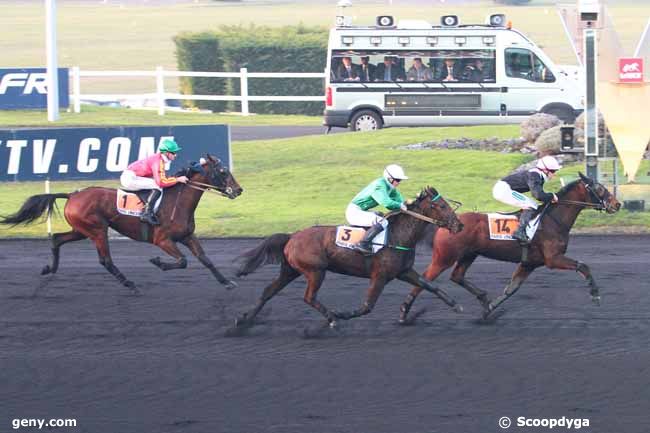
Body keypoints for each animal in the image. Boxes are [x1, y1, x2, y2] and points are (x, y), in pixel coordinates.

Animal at [1, 154, 242, 290]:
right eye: (223, 171)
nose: (239, 190)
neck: (177, 201)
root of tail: (72, 195)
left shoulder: (187, 236)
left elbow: (206, 259)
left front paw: (227, 282)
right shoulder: (162, 240)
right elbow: (182, 261)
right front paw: (157, 262)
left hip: (81, 229)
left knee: (57, 239)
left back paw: (49, 269)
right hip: (97, 230)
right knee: (105, 260)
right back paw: (130, 284)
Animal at [235, 186, 464, 328]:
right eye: (441, 206)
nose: (459, 225)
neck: (398, 235)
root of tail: (292, 236)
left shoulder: (404, 271)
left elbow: (430, 286)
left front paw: (456, 305)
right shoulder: (380, 276)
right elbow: (367, 306)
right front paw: (341, 314)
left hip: (290, 271)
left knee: (268, 291)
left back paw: (242, 321)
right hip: (315, 272)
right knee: (308, 297)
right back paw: (331, 319)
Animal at [398, 172, 620, 320]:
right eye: (599, 188)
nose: (617, 204)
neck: (553, 220)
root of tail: (448, 223)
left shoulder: (529, 263)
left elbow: (511, 289)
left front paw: (489, 309)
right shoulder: (553, 259)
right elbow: (583, 266)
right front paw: (595, 295)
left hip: (469, 255)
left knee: (456, 276)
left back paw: (482, 297)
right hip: (444, 258)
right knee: (424, 279)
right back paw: (404, 310)